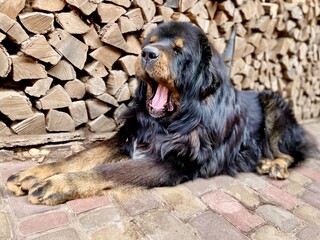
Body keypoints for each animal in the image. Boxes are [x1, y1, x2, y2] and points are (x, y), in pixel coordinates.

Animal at [6, 22, 316, 205]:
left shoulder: (174, 161)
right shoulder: (127, 137)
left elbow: (108, 170)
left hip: (274, 109)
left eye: (179, 50)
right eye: (150, 41)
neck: (171, 121)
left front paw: (57, 184)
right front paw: (36, 172)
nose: (147, 53)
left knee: (292, 152)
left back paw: (274, 164)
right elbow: (80, 156)